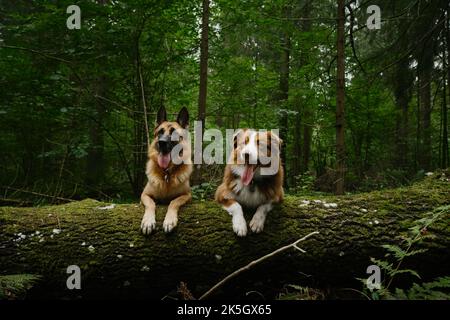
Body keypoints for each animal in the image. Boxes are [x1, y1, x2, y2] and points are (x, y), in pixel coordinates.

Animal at [140, 106, 191, 234]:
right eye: (160, 132)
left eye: (174, 133)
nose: (161, 143)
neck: (166, 172)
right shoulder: (144, 195)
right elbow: (151, 204)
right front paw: (148, 221)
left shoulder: (187, 195)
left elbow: (174, 202)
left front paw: (169, 221)